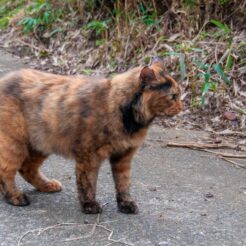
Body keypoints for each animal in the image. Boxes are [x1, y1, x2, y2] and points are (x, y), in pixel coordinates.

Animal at [0, 57, 183, 213]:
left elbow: (124, 183)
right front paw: (89, 205)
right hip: (15, 144)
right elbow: (87, 182)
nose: (181, 108)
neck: (124, 112)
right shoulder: (89, 156)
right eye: (173, 96)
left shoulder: (123, 157)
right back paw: (15, 197)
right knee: (7, 171)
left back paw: (47, 186)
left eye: (179, 94)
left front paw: (126, 203)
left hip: (41, 144)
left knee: (27, 168)